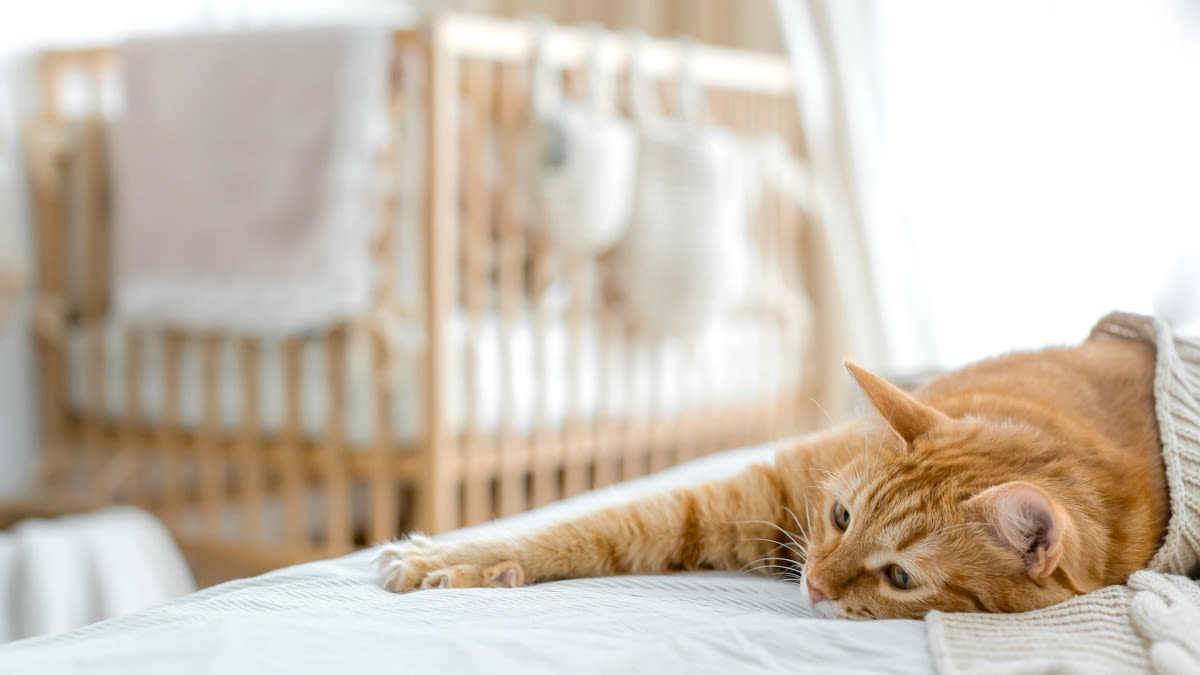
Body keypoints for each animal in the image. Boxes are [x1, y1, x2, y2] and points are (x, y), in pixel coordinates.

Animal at [374, 324, 1161, 619]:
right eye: (840, 516)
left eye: (900, 576)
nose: (812, 584)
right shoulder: (750, 493)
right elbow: (583, 525)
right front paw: (454, 554)